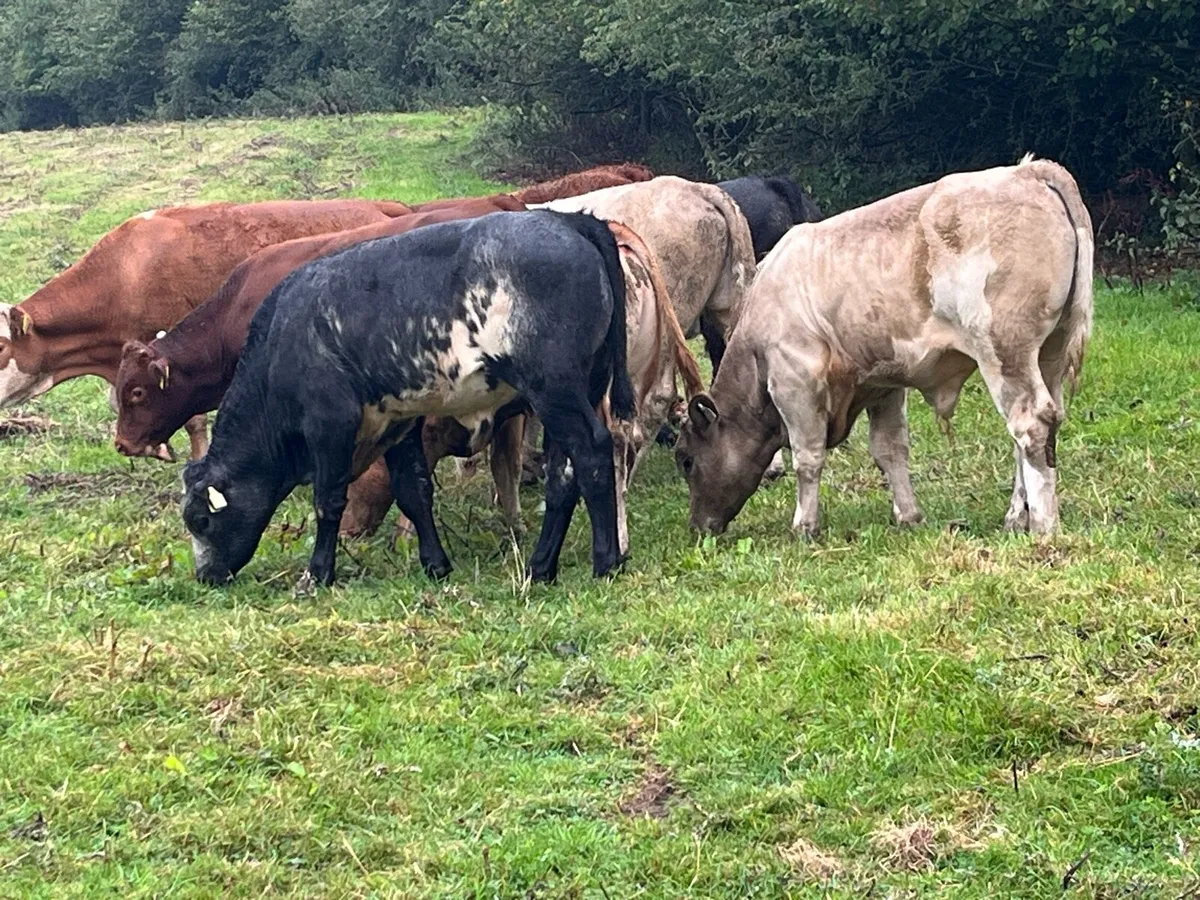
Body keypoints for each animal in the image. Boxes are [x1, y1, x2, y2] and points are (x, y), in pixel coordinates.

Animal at [182, 211, 635, 587]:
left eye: (200, 520)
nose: (205, 575)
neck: (285, 338)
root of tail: (568, 220)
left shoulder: (330, 425)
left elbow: (328, 501)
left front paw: (318, 573)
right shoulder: (398, 422)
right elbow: (413, 491)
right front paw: (435, 563)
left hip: (556, 391)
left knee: (593, 454)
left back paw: (605, 561)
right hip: (573, 394)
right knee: (563, 475)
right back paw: (541, 567)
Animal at [675, 157, 1094, 538]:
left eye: (686, 460)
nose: (699, 527)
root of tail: (1029, 171)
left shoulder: (795, 382)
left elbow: (808, 456)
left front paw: (804, 526)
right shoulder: (884, 383)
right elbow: (890, 450)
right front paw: (908, 514)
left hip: (1004, 354)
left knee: (1030, 426)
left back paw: (1042, 525)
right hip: (1048, 356)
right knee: (1035, 431)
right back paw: (1016, 516)